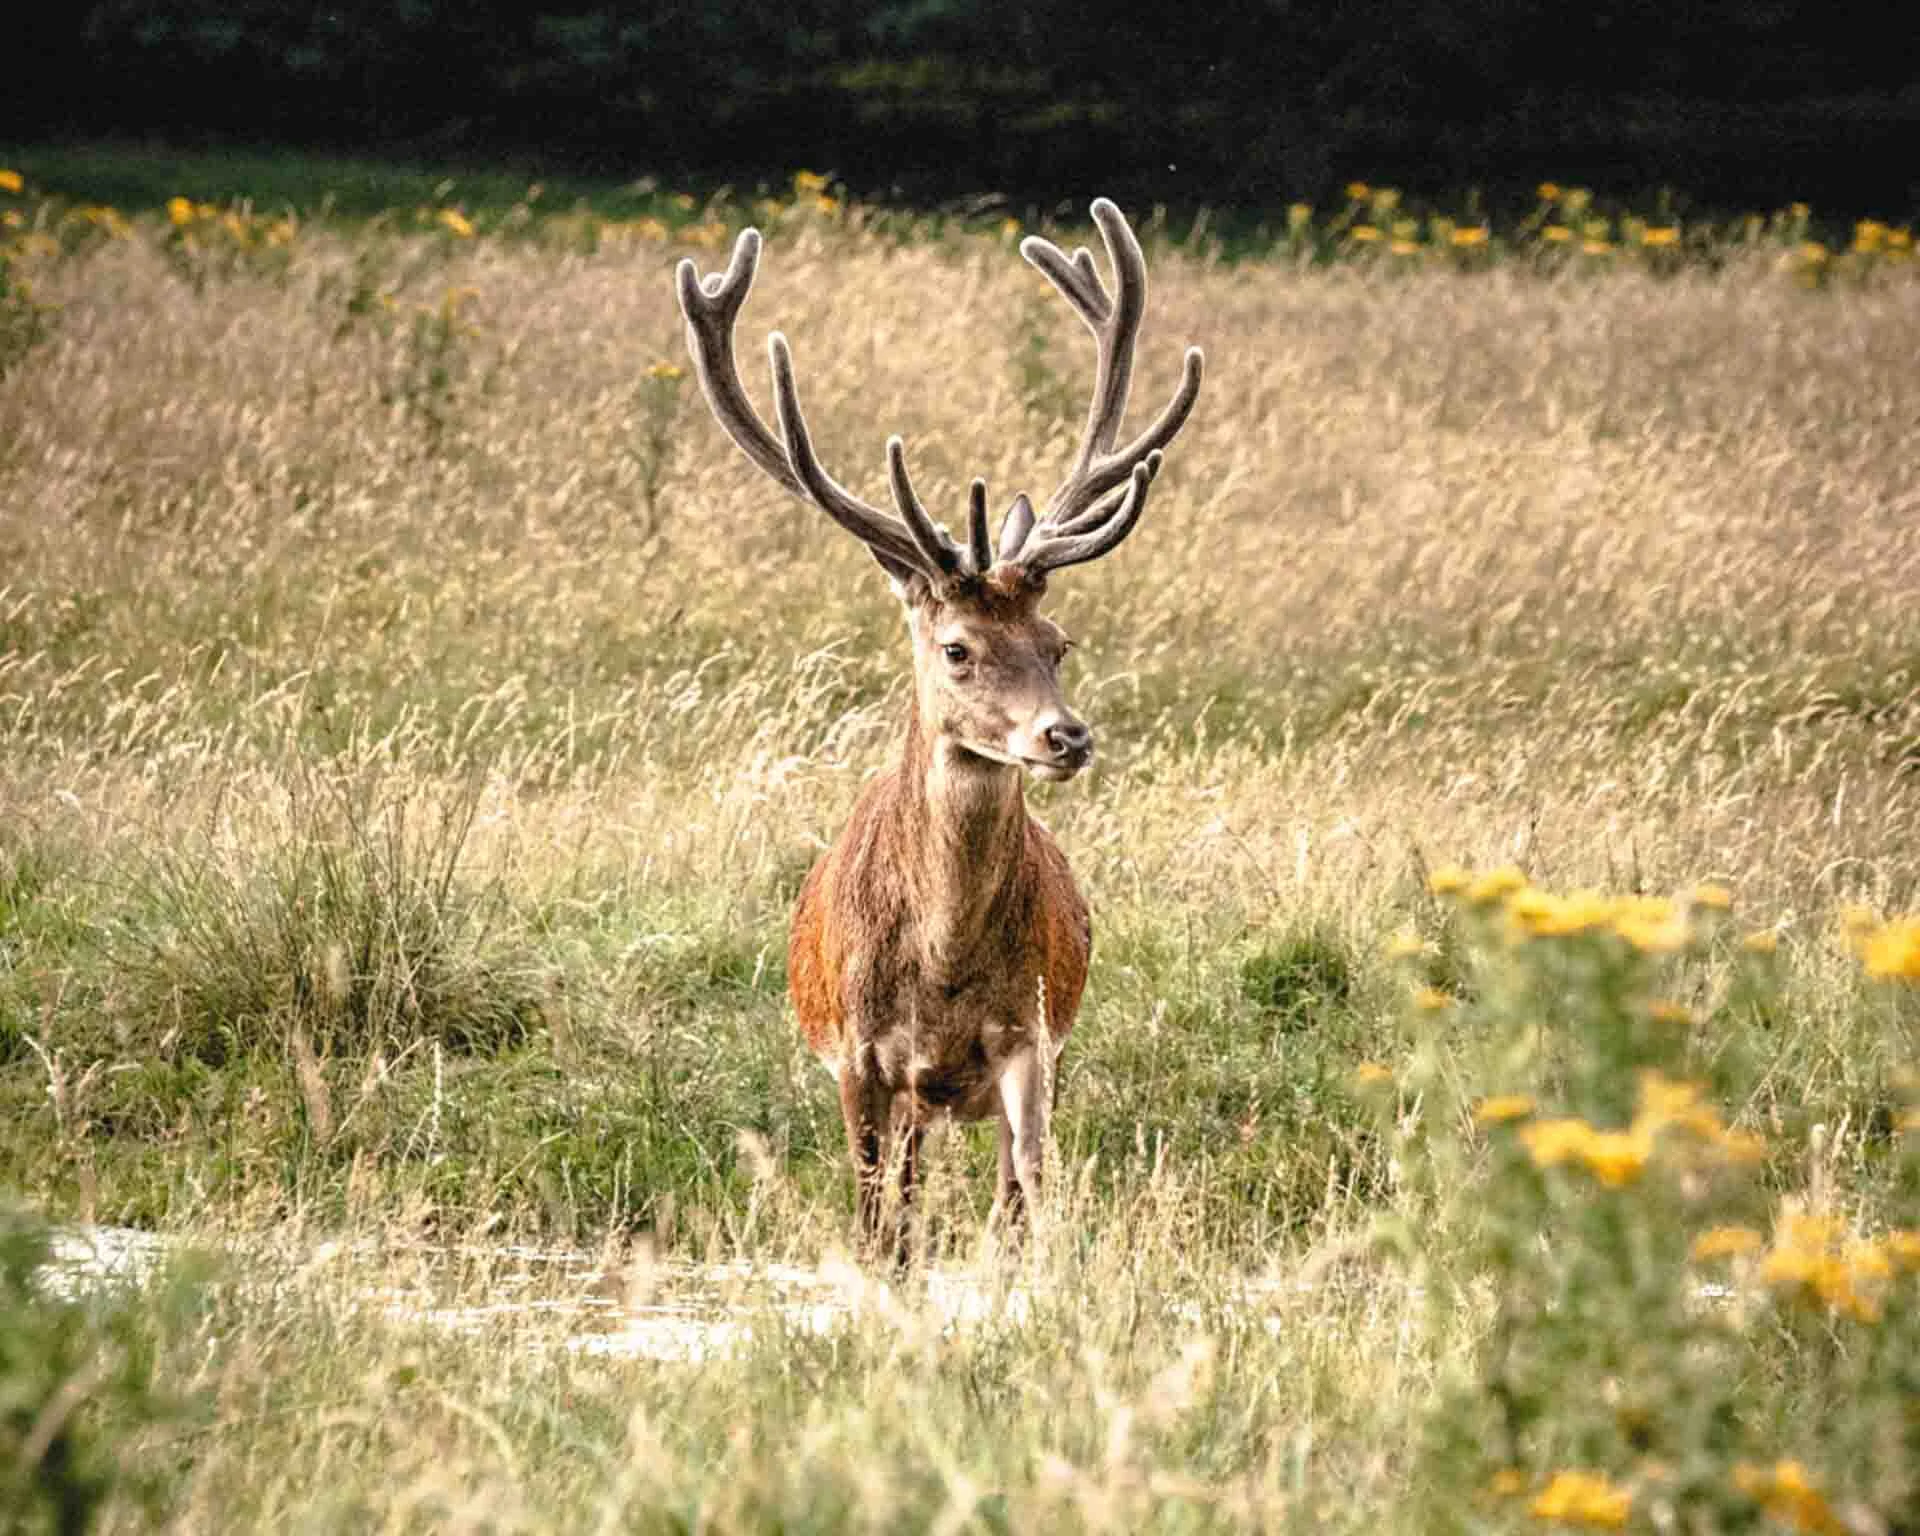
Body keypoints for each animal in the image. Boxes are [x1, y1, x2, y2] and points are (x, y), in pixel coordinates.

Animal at [675, 198, 1203, 1262]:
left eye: (1058, 640)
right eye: (958, 647)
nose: (1065, 738)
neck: (943, 967)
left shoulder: (1031, 1037)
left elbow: (1027, 1193)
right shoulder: (861, 1057)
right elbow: (878, 1221)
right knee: (904, 1202)